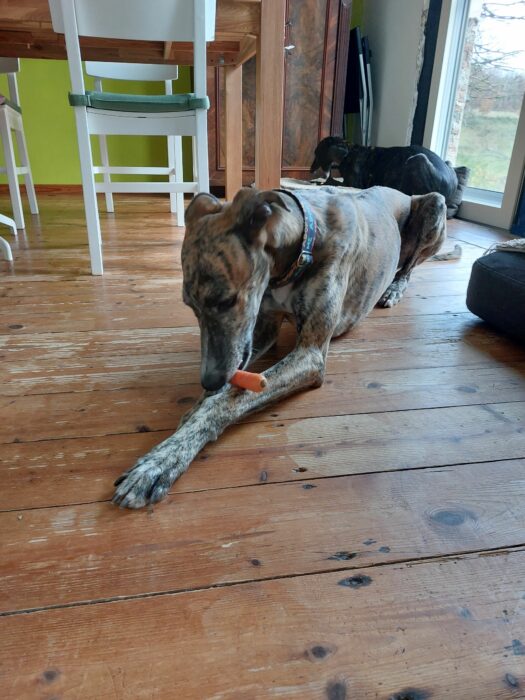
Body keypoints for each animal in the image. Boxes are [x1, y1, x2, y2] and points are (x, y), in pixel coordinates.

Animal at [113, 185, 446, 508]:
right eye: (189, 305)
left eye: (225, 300)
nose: (209, 380)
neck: (301, 247)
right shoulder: (261, 330)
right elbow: (219, 392)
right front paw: (177, 433)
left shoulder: (310, 354)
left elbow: (226, 401)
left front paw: (160, 463)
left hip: (434, 206)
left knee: (409, 266)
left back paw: (394, 288)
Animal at [310, 136, 462, 218]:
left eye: (316, 152)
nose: (311, 169)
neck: (349, 152)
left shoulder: (353, 184)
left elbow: (333, 181)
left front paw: (320, 182)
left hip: (417, 159)